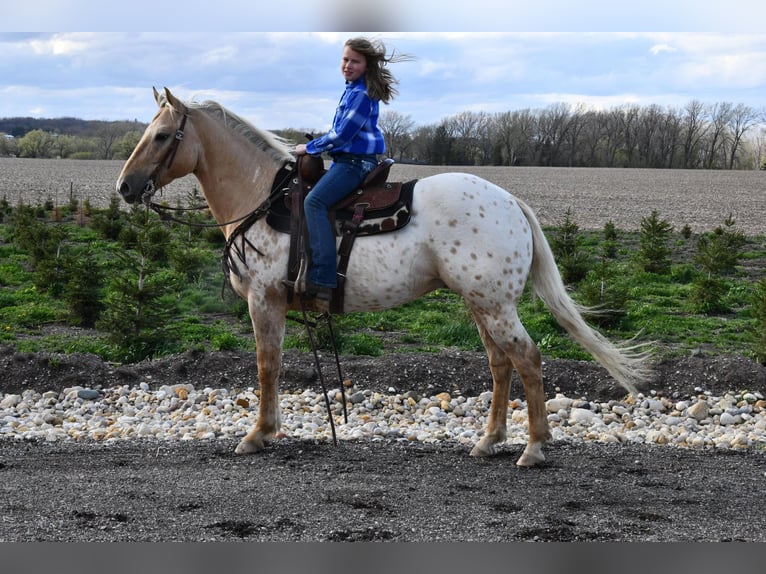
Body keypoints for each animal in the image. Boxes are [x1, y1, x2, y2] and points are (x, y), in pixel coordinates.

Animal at [117, 89, 652, 468]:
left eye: (162, 136)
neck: (263, 199)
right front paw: (267, 430)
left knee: (528, 359)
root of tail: (511, 201)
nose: (125, 187)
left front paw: (257, 435)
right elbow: (274, 366)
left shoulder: (264, 300)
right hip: (482, 304)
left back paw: (534, 448)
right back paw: (489, 441)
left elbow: (267, 366)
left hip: (495, 305)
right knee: (501, 365)